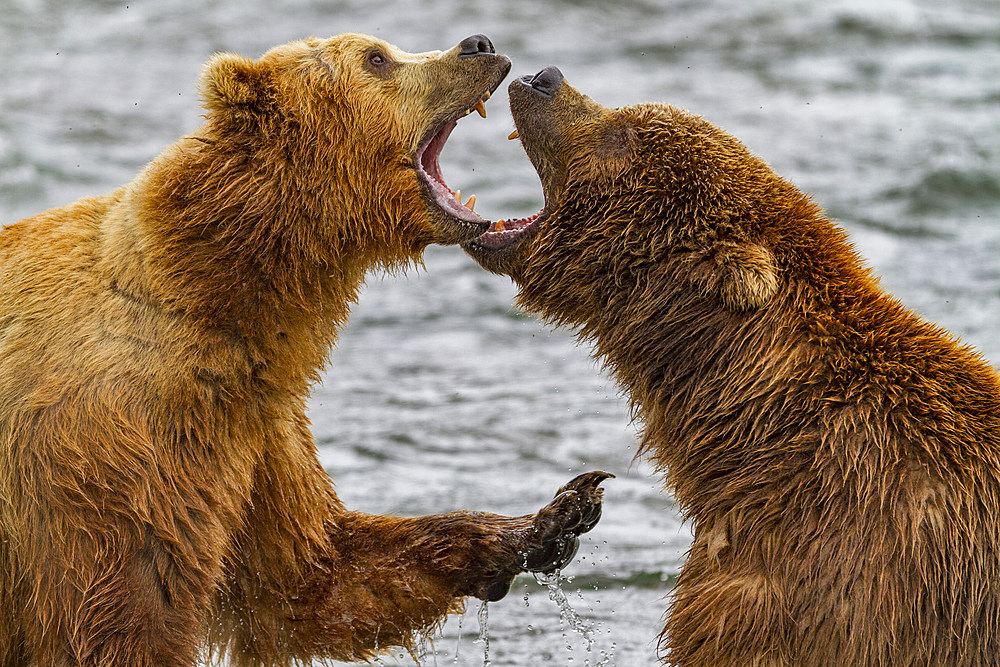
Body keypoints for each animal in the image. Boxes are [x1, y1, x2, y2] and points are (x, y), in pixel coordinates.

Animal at [0, 37, 608, 667]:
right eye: (376, 57)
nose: (479, 45)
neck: (219, 295)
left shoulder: (256, 429)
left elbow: (311, 573)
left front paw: (553, 519)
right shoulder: (109, 447)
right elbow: (122, 618)